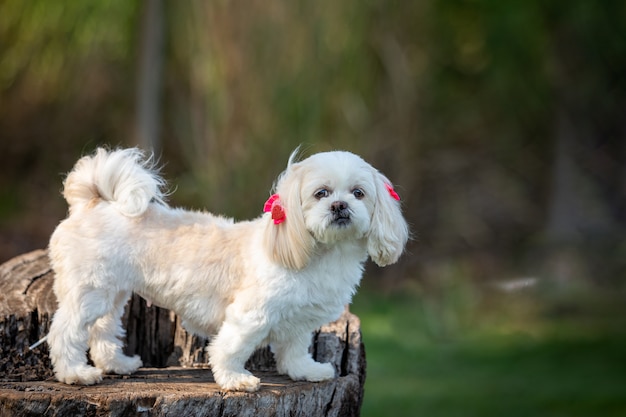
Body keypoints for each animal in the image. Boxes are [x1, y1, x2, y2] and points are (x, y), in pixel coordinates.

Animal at [48, 147, 410, 390]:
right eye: (321, 193)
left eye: (358, 193)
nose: (339, 206)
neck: (322, 256)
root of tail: (93, 202)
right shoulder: (251, 315)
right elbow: (231, 347)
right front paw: (236, 379)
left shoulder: (299, 320)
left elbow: (294, 350)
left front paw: (306, 371)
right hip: (90, 293)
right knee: (65, 331)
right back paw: (75, 373)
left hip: (111, 293)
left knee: (102, 329)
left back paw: (116, 363)